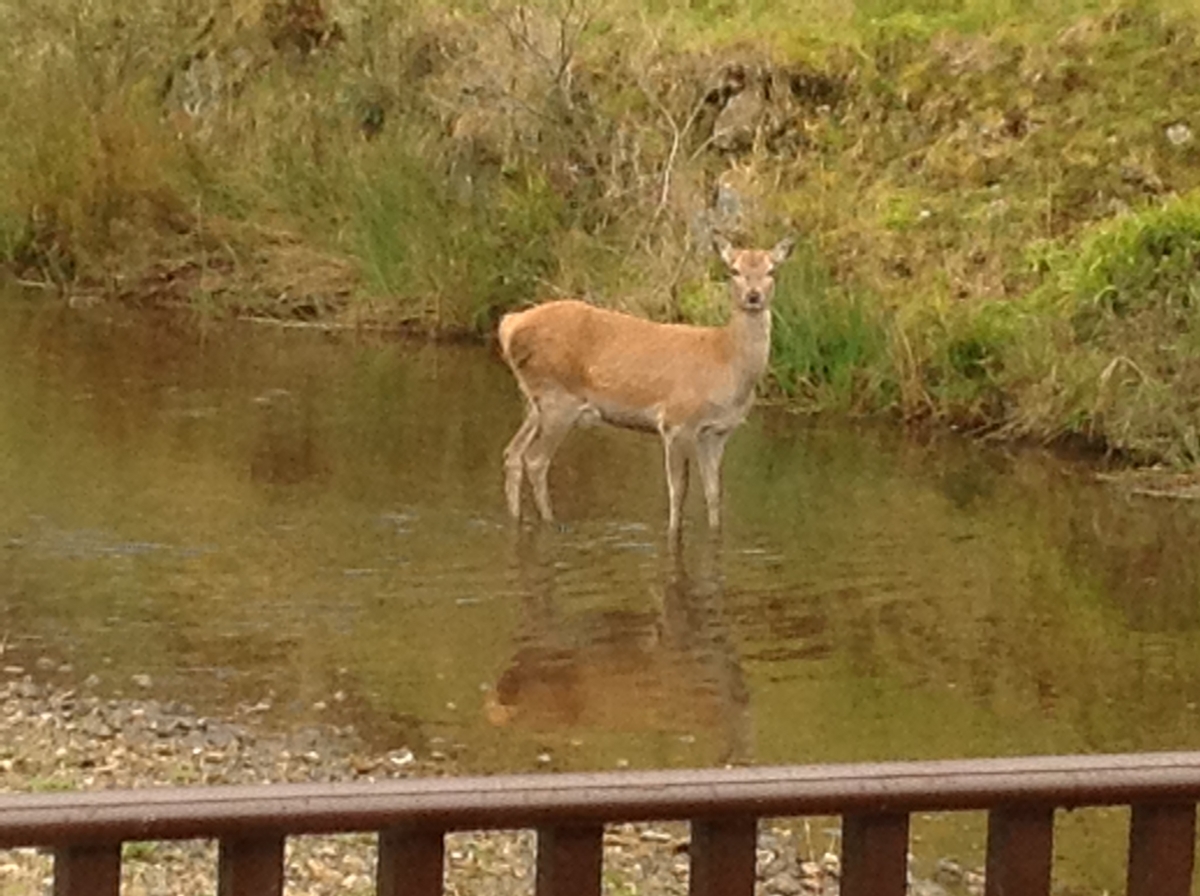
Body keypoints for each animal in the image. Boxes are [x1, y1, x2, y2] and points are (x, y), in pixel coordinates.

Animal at [498, 235, 795, 538]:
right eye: (733, 270)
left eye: (772, 270)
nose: (753, 296)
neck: (726, 362)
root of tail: (509, 325)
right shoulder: (676, 421)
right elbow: (678, 491)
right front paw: (673, 534)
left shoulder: (717, 432)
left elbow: (714, 494)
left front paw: (714, 534)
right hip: (558, 397)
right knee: (535, 460)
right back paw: (551, 523)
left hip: (535, 401)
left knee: (513, 453)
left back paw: (516, 519)